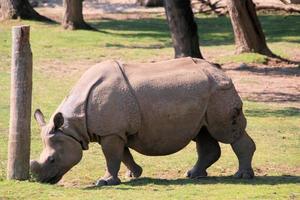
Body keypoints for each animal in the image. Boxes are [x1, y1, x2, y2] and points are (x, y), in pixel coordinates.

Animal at [30, 57, 255, 186]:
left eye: (52, 160)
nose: (42, 181)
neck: (72, 127)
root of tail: (220, 70)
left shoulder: (111, 132)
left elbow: (111, 156)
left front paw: (104, 182)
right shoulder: (116, 131)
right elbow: (122, 155)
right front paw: (134, 173)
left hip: (219, 91)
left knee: (226, 133)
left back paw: (241, 176)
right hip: (206, 96)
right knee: (203, 133)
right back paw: (193, 174)